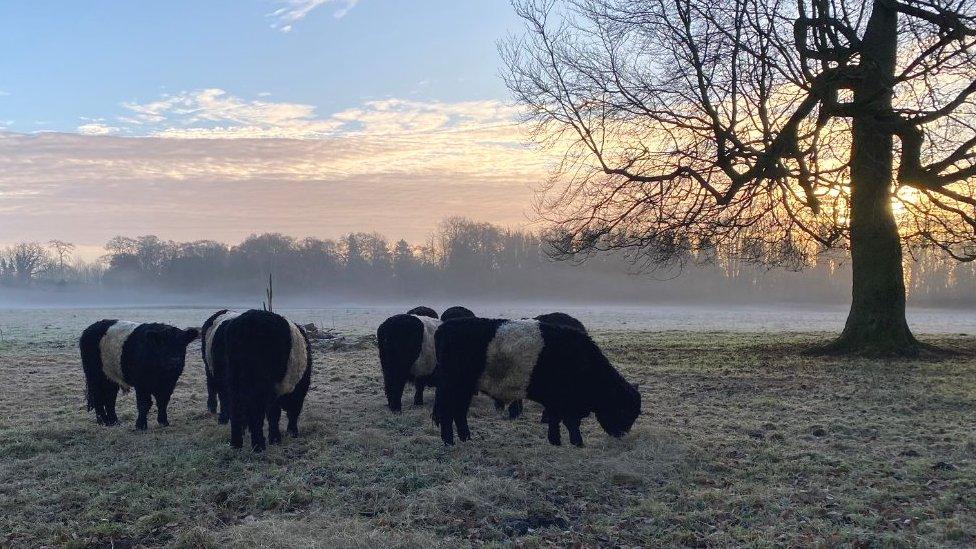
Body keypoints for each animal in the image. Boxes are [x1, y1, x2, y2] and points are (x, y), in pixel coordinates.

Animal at [214, 308, 312, 450]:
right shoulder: (290, 390)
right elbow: (285, 412)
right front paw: (284, 435)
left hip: (234, 375)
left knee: (236, 405)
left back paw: (236, 443)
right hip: (257, 380)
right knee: (255, 408)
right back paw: (258, 445)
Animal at [434, 316, 640, 446]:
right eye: (624, 410)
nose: (622, 434)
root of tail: (445, 327)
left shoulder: (556, 401)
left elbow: (555, 420)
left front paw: (555, 441)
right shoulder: (566, 401)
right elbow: (570, 422)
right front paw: (577, 443)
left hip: (465, 389)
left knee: (459, 412)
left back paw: (465, 438)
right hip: (453, 386)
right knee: (447, 412)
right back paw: (449, 442)